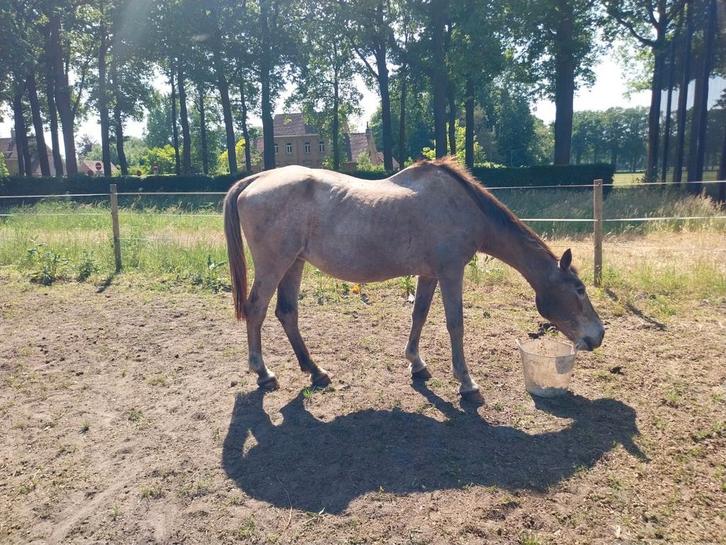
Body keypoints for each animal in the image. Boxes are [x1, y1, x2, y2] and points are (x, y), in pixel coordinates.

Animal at [223, 157, 604, 404]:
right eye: (579, 289)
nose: (598, 335)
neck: (461, 205)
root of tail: (254, 181)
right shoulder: (451, 272)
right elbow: (455, 324)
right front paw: (467, 383)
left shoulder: (428, 274)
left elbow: (418, 315)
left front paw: (416, 364)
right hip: (274, 265)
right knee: (256, 310)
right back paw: (263, 373)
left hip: (294, 264)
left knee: (287, 313)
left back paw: (315, 371)